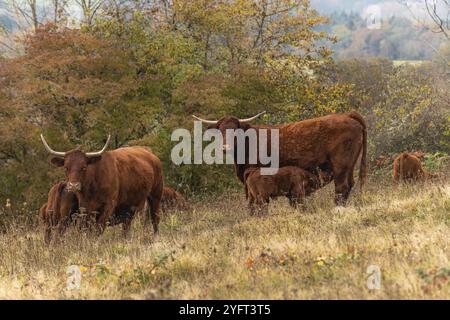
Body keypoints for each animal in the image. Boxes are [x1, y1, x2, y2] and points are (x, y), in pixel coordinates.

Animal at [192, 110, 366, 205]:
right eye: (221, 130)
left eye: (236, 130)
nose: (225, 147)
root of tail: (348, 115)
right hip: (349, 166)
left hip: (341, 166)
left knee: (341, 188)